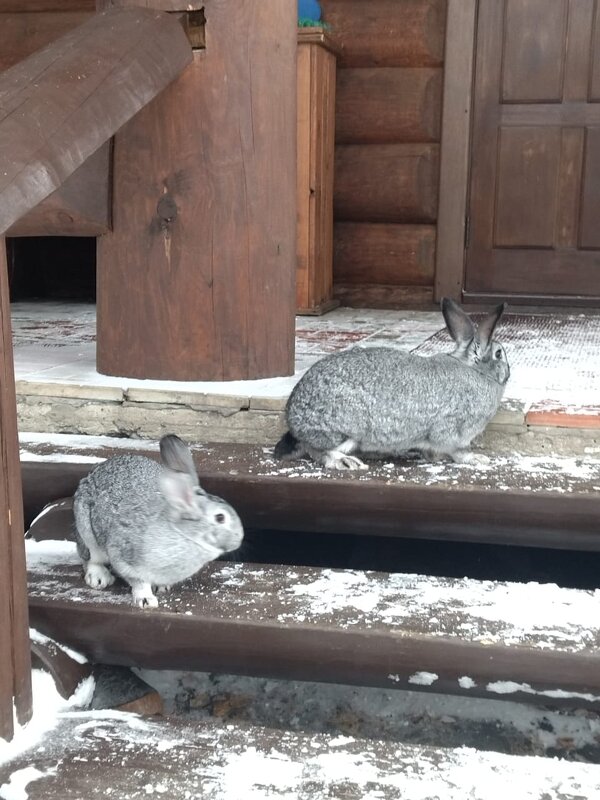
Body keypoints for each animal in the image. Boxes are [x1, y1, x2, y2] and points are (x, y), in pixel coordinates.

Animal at [73, 434, 244, 608]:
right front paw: (146, 600)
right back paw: (99, 578)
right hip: (86, 531)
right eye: (220, 517)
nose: (239, 539)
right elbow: (139, 582)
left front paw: (161, 587)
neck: (183, 533)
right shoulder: (125, 558)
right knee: (90, 559)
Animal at [274, 302, 508, 476]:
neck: (476, 371)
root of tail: (293, 418)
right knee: (318, 451)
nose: (508, 373)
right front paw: (477, 459)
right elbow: (457, 451)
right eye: (499, 354)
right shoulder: (453, 430)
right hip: (348, 431)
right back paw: (347, 462)